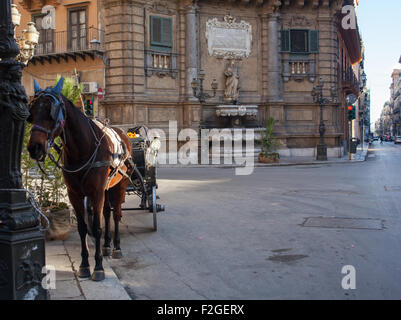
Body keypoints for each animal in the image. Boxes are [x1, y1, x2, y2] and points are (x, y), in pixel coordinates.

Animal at [27, 79, 133, 282]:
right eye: (32, 112)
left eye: (51, 113)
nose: (34, 147)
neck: (82, 149)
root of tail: (122, 133)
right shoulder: (74, 194)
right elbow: (83, 227)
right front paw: (85, 265)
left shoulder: (96, 192)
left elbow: (96, 228)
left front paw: (98, 267)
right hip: (107, 188)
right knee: (107, 213)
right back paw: (107, 246)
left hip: (119, 186)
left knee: (116, 215)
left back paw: (116, 247)